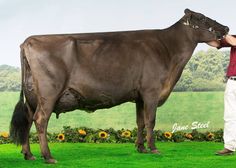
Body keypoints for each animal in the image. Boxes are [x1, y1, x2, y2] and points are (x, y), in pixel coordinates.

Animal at [9, 8, 229, 163]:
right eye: (202, 19)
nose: (226, 28)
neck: (169, 51)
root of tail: (29, 41)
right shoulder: (151, 91)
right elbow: (151, 121)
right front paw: (154, 148)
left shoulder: (139, 95)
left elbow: (140, 122)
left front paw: (140, 148)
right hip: (49, 92)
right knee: (40, 120)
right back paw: (48, 157)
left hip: (33, 96)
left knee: (27, 120)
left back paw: (29, 155)